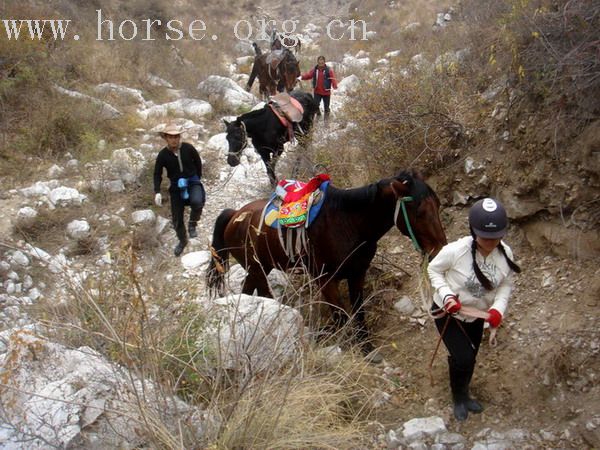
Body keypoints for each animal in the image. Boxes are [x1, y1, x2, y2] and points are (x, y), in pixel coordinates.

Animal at [206, 171, 446, 360]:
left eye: (438, 205)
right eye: (419, 212)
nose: (440, 249)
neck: (349, 223)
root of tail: (234, 215)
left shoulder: (357, 274)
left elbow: (358, 312)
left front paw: (366, 348)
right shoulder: (326, 280)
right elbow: (340, 317)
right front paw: (344, 347)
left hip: (259, 268)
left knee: (248, 291)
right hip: (258, 268)